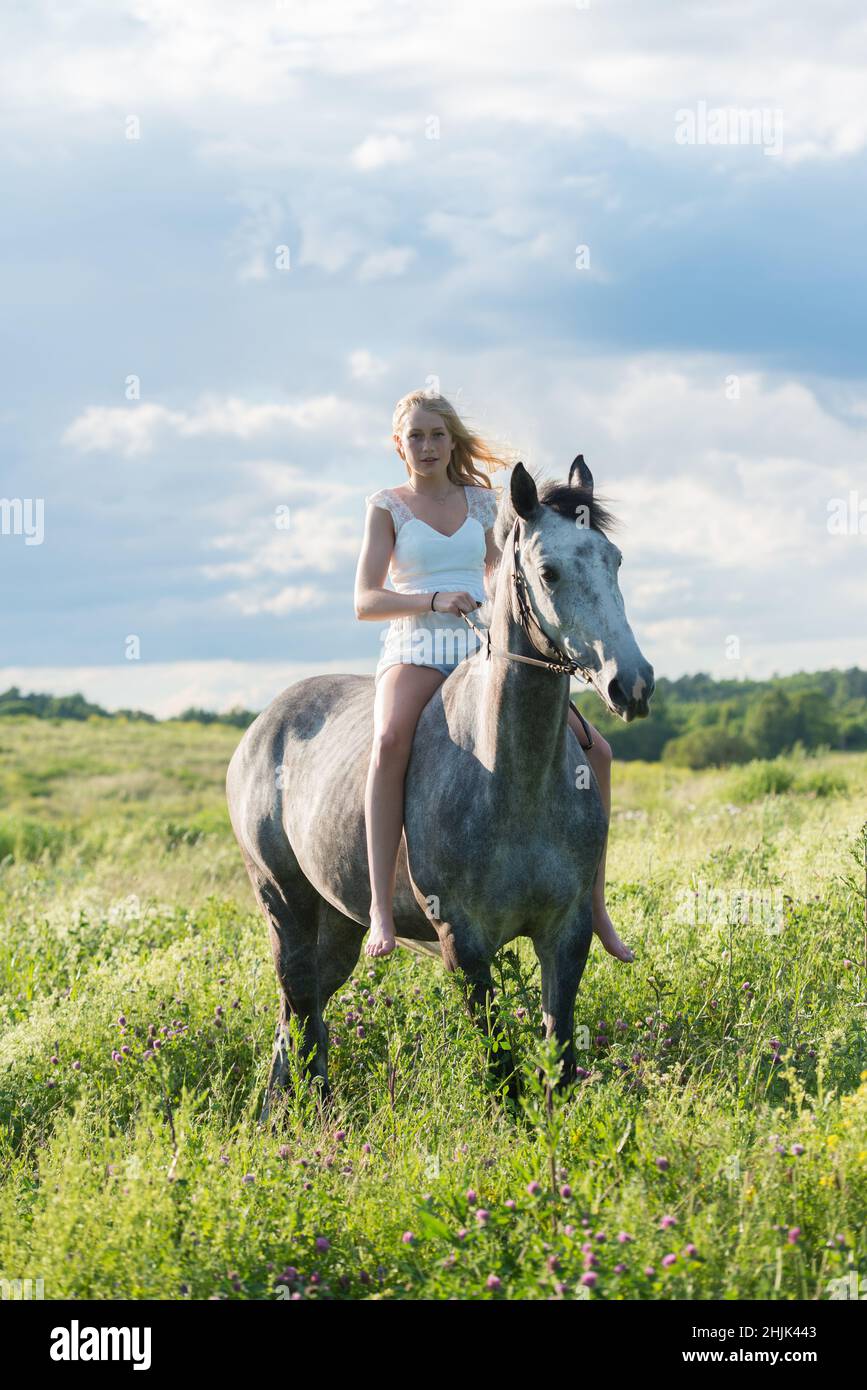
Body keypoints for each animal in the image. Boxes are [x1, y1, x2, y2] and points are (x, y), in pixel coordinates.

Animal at [223, 455, 650, 1117]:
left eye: (615, 560)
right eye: (549, 572)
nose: (632, 684)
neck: (513, 781)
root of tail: (262, 725)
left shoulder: (568, 930)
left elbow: (558, 1054)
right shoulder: (464, 943)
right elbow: (501, 1066)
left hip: (338, 922)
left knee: (304, 1011)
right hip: (285, 902)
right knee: (296, 1001)